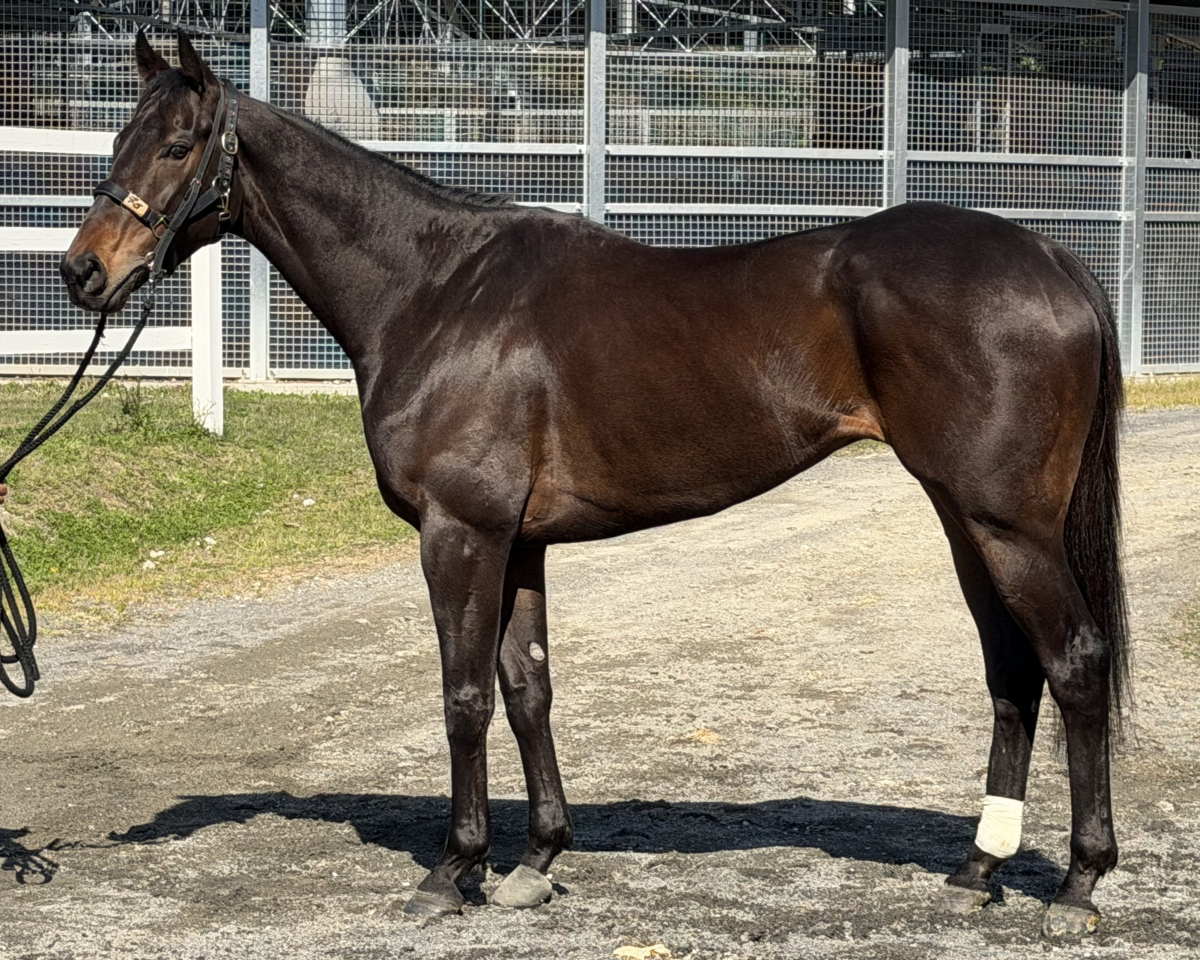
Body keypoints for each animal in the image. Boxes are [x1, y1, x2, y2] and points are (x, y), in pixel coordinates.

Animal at [61, 31, 1129, 938]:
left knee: (1075, 661)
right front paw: (536, 861)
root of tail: (1053, 258)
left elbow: (463, 696)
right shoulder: (520, 542)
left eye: (179, 145)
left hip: (1006, 523)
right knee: (1011, 671)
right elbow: (527, 688)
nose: (83, 273)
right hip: (965, 518)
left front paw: (453, 870)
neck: (435, 290)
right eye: (118, 137)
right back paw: (977, 869)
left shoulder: (460, 533)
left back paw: (1078, 886)